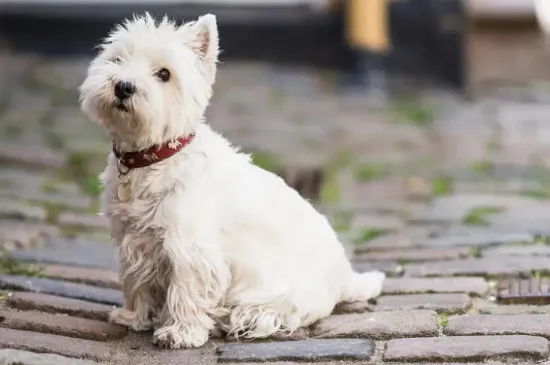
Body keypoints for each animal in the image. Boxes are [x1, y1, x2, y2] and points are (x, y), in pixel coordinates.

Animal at [80, 13, 386, 350]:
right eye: (118, 59)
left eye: (164, 74)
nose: (123, 87)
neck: (152, 158)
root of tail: (344, 277)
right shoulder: (132, 240)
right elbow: (137, 282)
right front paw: (133, 317)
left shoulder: (191, 248)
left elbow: (186, 291)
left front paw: (180, 332)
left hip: (280, 294)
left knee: (272, 314)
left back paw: (235, 317)